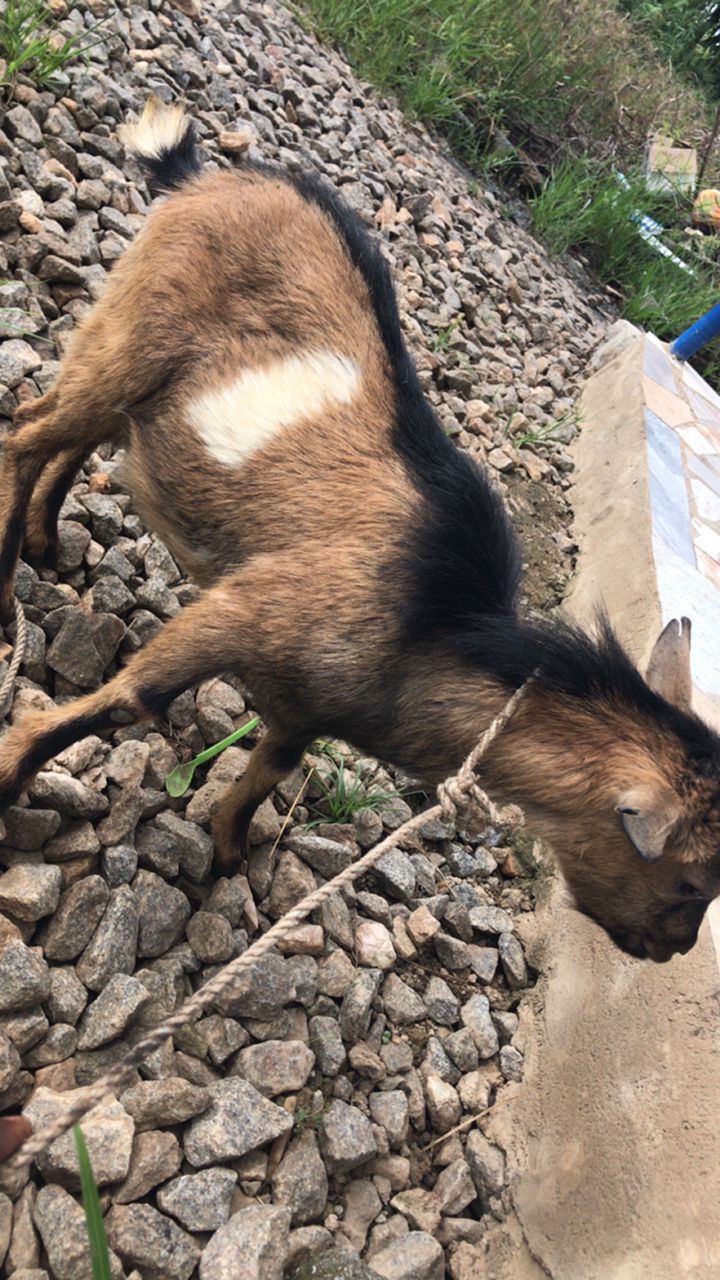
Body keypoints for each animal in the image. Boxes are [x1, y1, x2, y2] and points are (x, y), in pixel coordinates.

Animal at [1, 98, 720, 964]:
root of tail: (197, 175)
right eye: (692, 883)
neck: (429, 634)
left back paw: (44, 541)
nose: (667, 951)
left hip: (142, 383)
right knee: (29, 430)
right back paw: (6, 576)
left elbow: (275, 765)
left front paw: (228, 854)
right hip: (132, 329)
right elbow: (129, 701)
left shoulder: (309, 706)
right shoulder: (248, 608)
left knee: (79, 436)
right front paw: (10, 778)